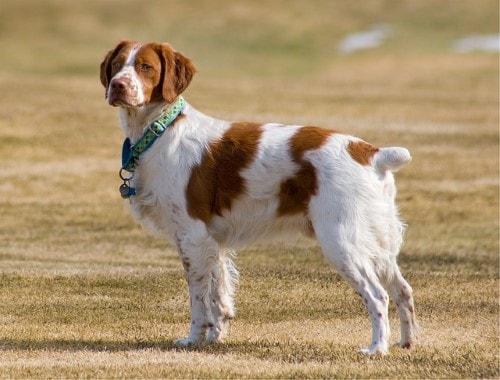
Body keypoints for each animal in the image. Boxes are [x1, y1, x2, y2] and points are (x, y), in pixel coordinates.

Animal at [98, 40, 418, 354]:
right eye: (117, 64)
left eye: (145, 67)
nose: (117, 85)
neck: (161, 131)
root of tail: (371, 153)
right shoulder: (213, 243)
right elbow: (219, 294)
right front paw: (214, 338)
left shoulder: (192, 237)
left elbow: (199, 300)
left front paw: (193, 340)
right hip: (377, 242)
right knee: (402, 289)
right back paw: (407, 342)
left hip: (341, 241)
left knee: (378, 295)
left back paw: (377, 348)